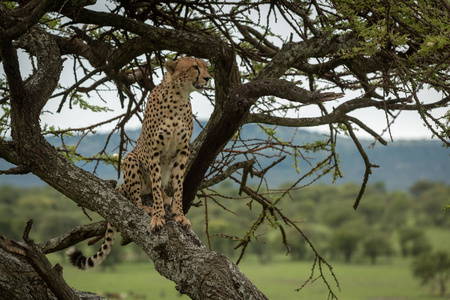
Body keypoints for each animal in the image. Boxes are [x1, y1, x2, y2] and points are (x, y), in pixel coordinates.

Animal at [67, 56, 212, 270]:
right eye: (195, 67)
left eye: (206, 66)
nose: (208, 78)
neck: (179, 97)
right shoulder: (154, 152)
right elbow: (157, 186)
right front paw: (158, 216)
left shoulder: (182, 153)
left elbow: (178, 186)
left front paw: (179, 214)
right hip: (131, 159)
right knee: (136, 197)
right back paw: (147, 207)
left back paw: (164, 197)